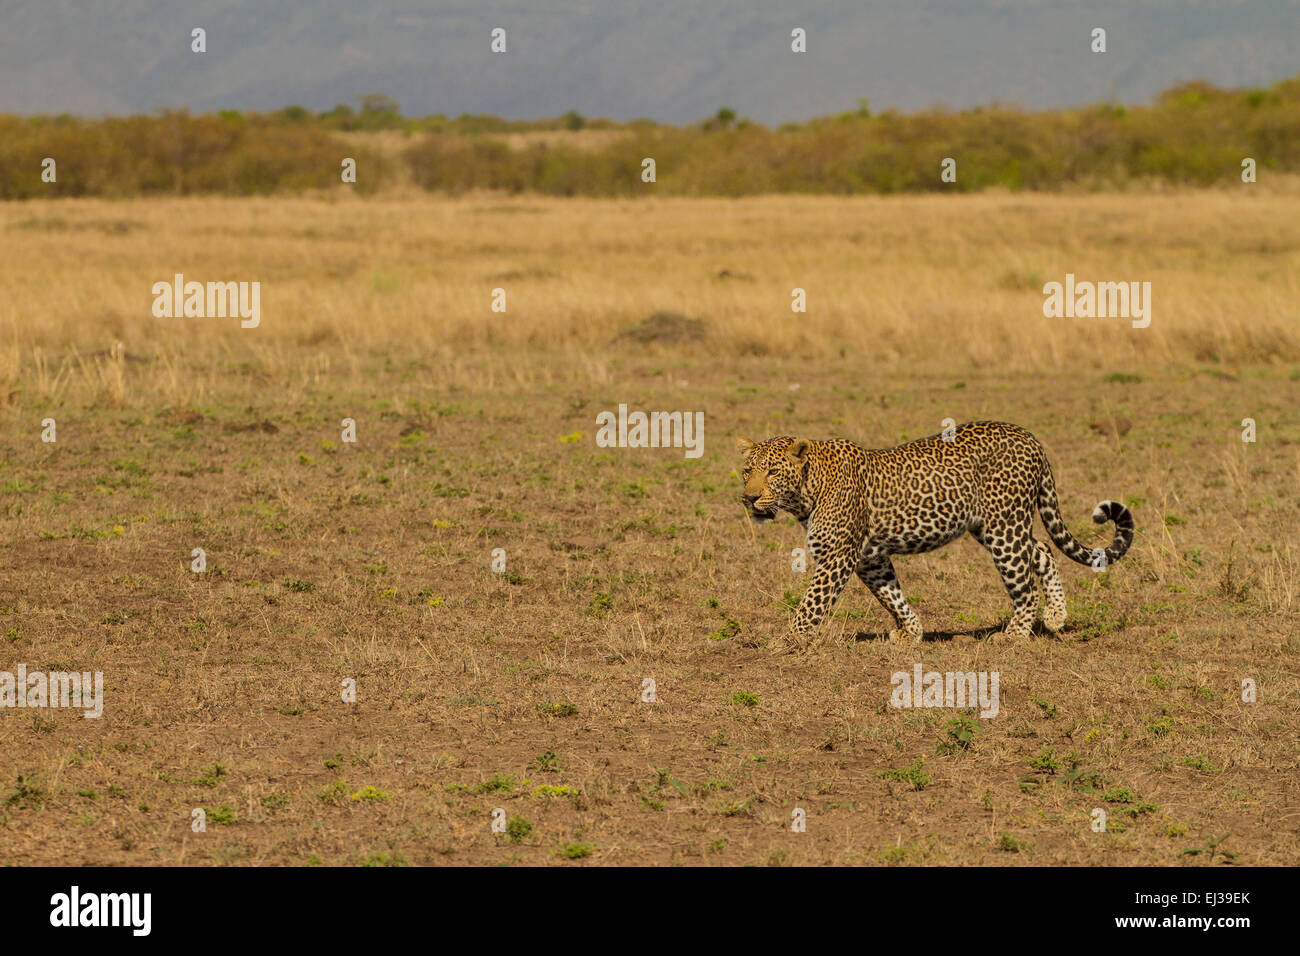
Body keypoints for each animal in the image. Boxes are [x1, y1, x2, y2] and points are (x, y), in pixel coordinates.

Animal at [738, 421, 1133, 655]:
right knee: (1044, 551)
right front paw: (911, 632)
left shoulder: (838, 556)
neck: (806, 490)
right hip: (996, 526)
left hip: (1004, 527)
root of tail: (1029, 437)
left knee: (1025, 585)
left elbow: (811, 604)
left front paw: (786, 641)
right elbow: (891, 595)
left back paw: (1015, 633)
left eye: (772, 472)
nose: (749, 498)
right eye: (747, 471)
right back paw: (1055, 617)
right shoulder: (870, 557)